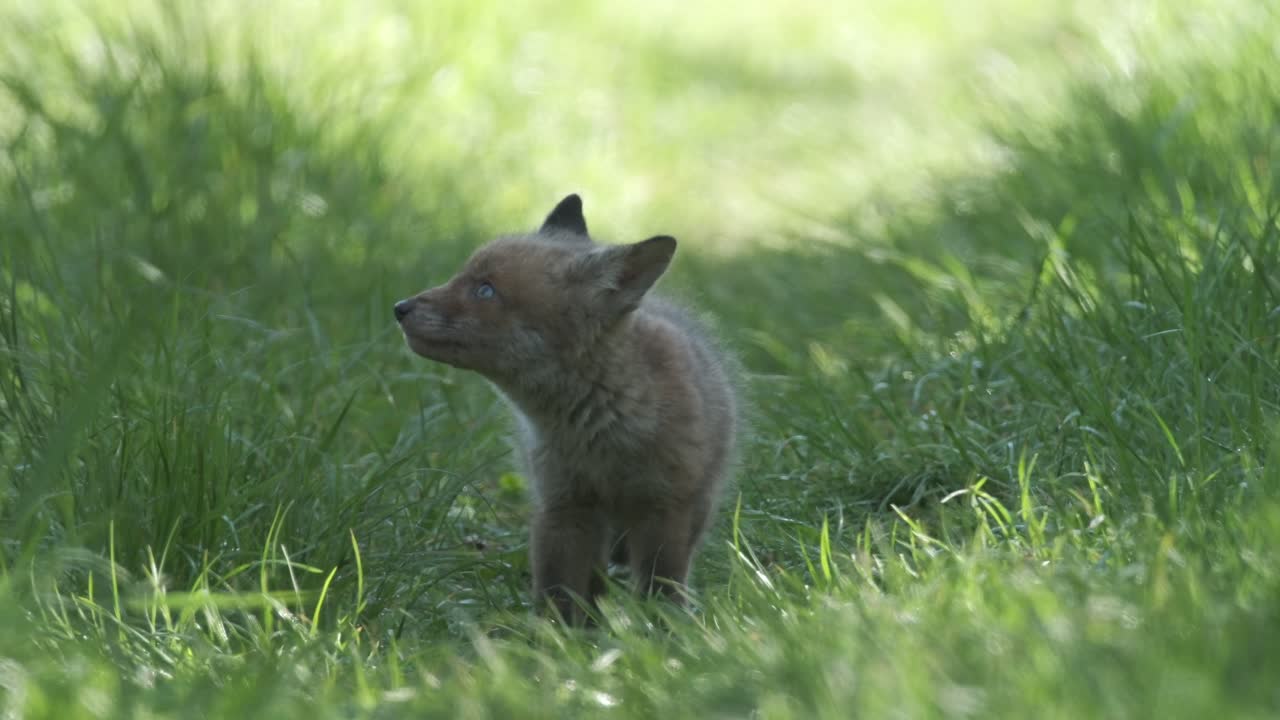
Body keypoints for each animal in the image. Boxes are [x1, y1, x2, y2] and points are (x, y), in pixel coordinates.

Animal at [394, 193, 742, 625]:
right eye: (463, 276)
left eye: (485, 290)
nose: (399, 308)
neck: (599, 431)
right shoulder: (562, 509)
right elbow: (557, 594)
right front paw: (556, 640)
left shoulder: (665, 509)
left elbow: (661, 588)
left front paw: (664, 632)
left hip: (693, 508)